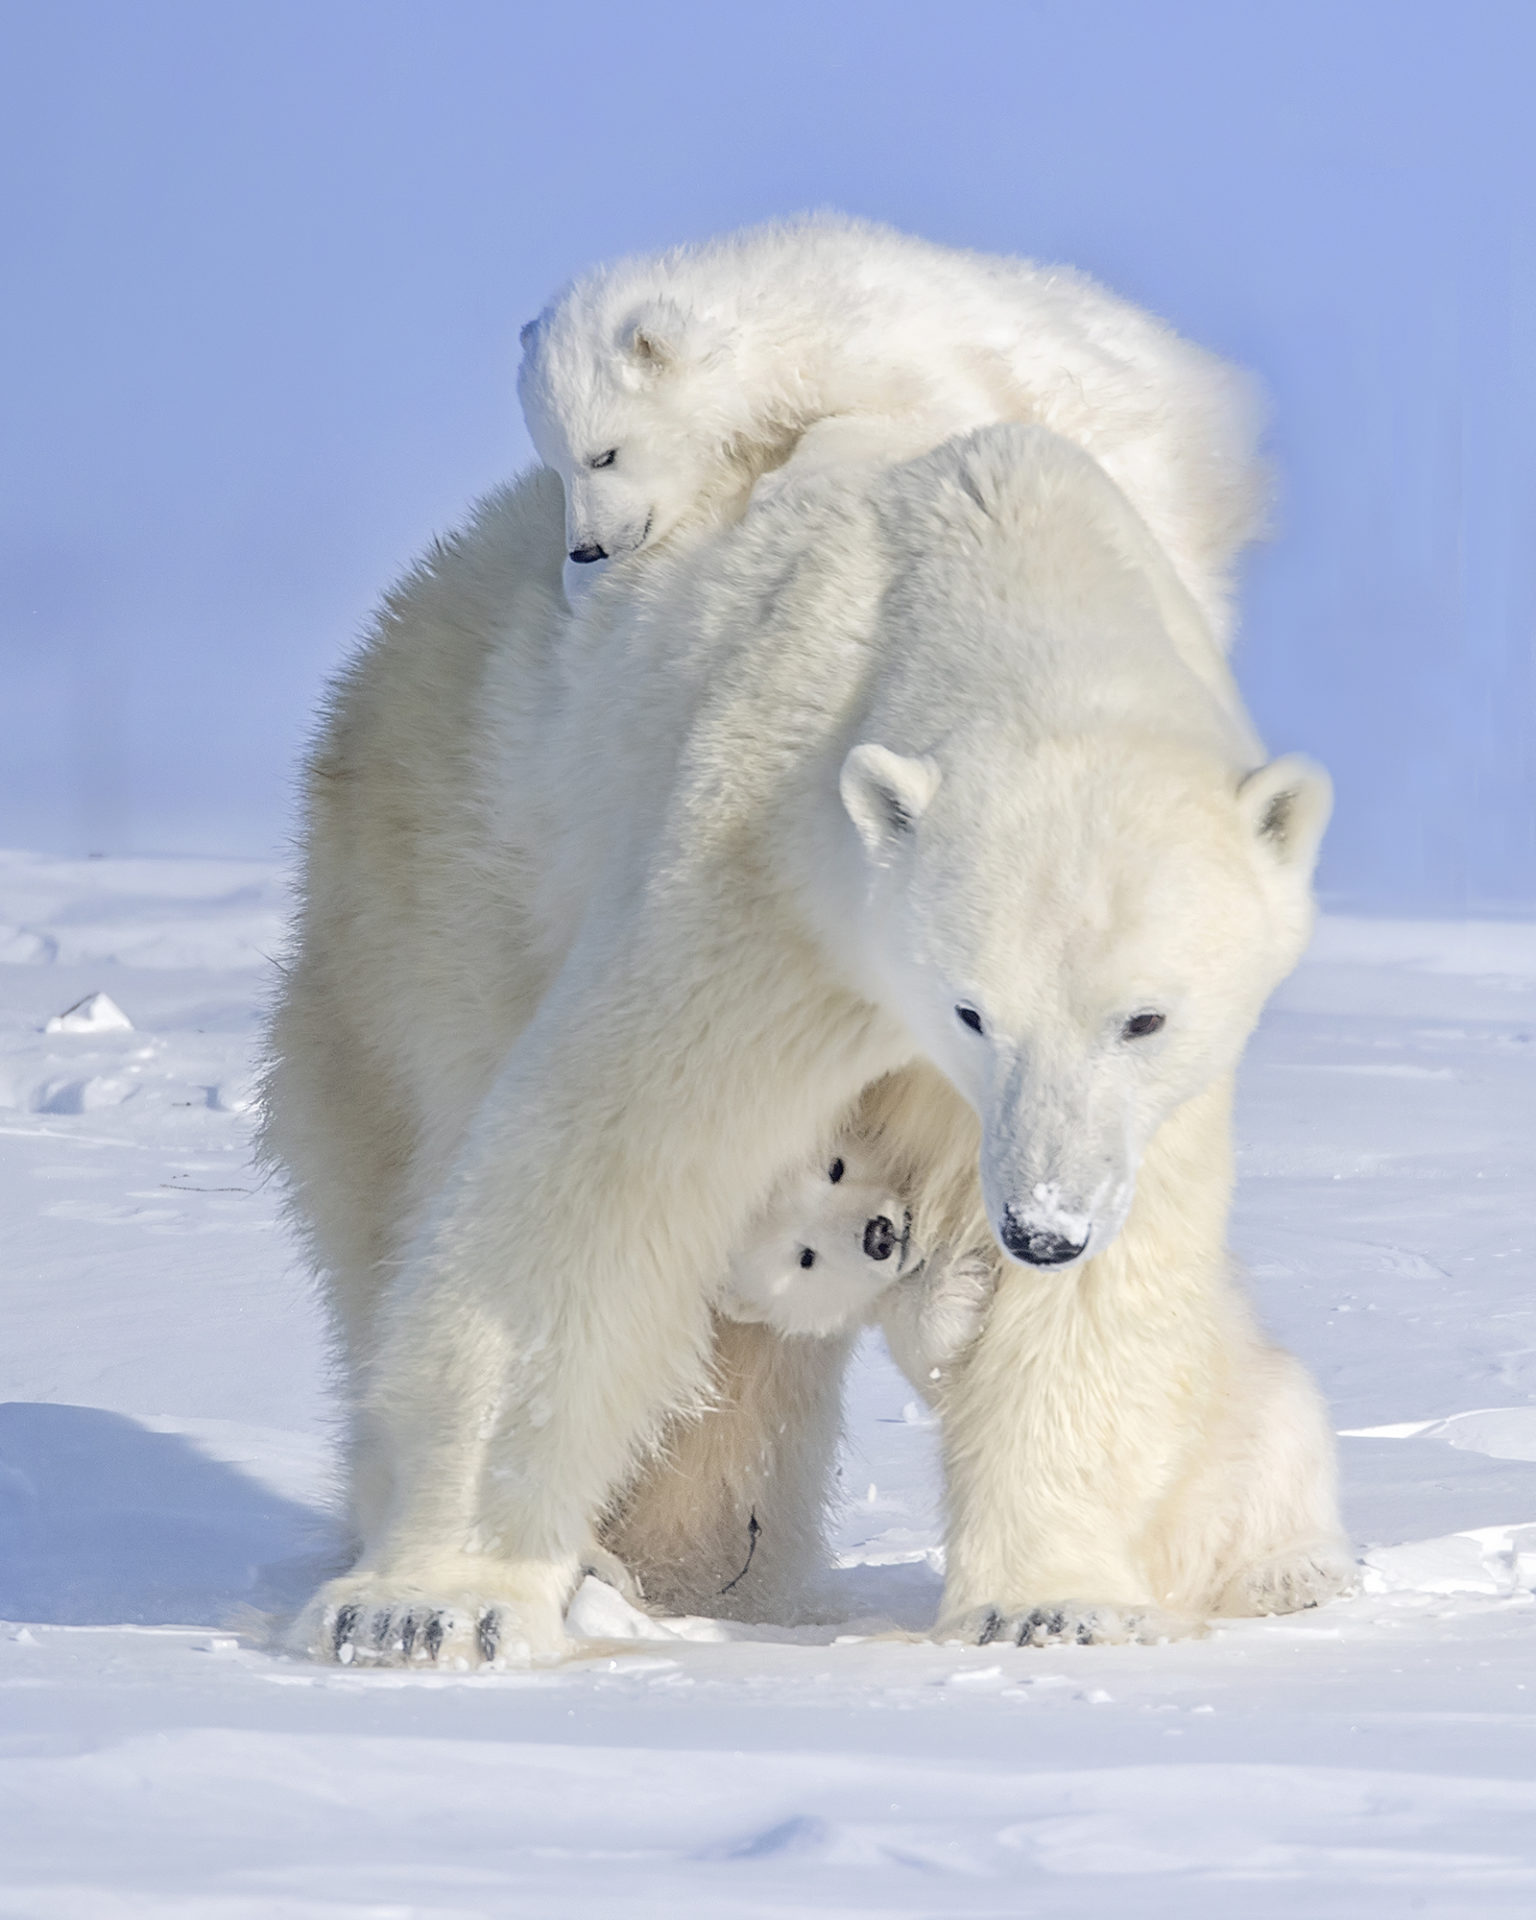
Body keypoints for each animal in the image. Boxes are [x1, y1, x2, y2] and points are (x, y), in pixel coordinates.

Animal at [261, 419, 1349, 1669]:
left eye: (1145, 1017)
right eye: (973, 1010)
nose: (1041, 1228)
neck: (1006, 555)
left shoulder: (1131, 1112)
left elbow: (1113, 1289)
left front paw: (1054, 1604)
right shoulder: (771, 885)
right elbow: (598, 1175)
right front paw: (427, 1608)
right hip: (444, 869)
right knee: (415, 1156)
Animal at [517, 212, 1264, 645]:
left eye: (604, 455)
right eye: (557, 463)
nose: (586, 548)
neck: (774, 316)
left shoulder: (880, 344)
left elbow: (934, 408)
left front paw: (785, 482)